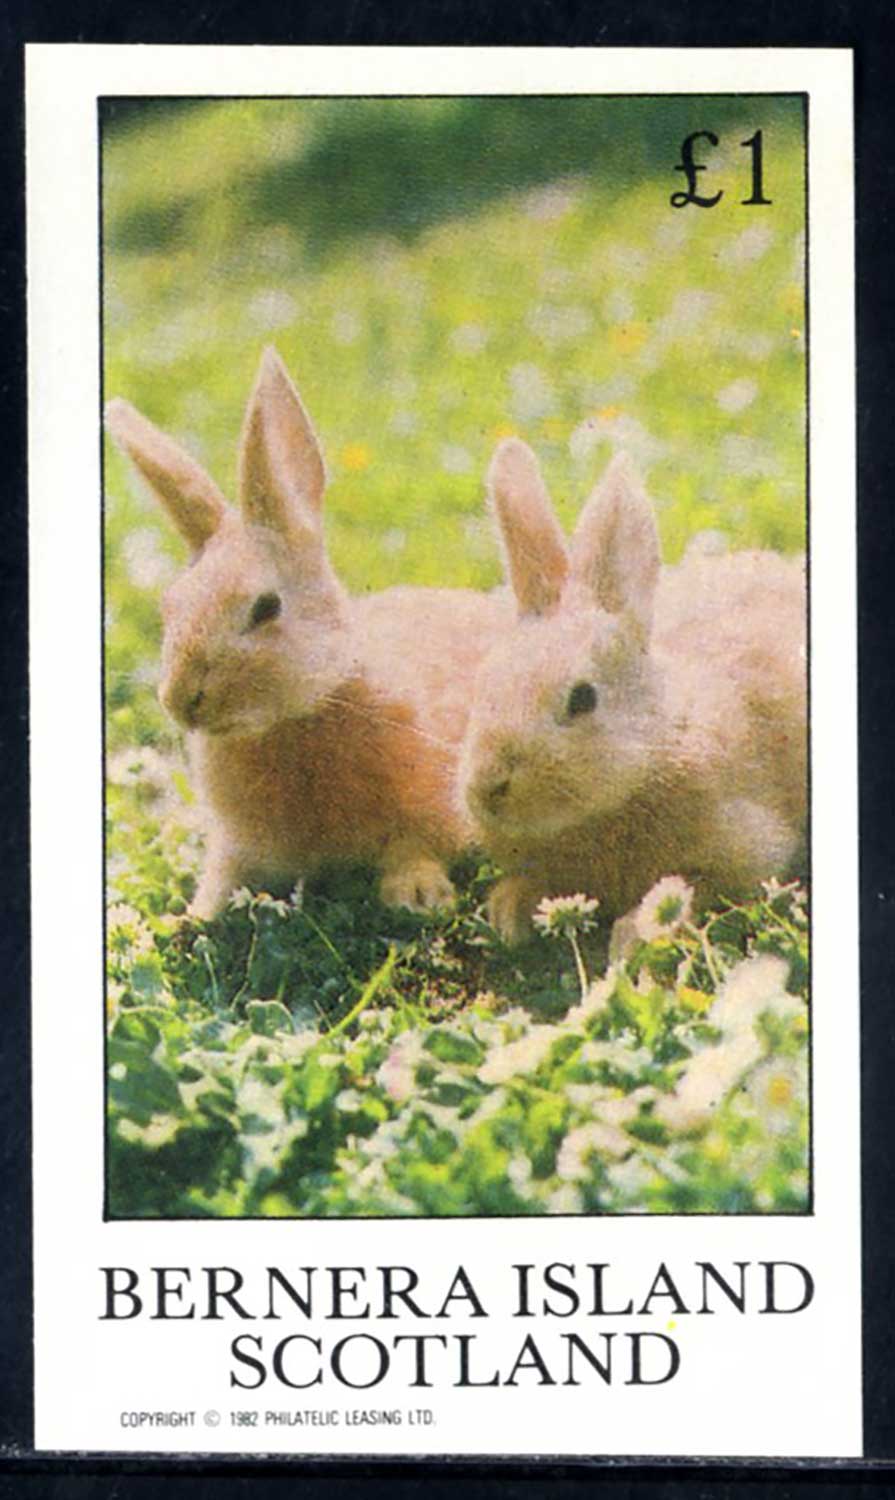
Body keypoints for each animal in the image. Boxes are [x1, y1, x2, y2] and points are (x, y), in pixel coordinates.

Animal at [106, 346, 511, 920]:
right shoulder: (238, 844)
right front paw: (192, 916)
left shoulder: (430, 805)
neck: (298, 716)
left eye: (266, 607)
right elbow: (223, 875)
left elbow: (413, 847)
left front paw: (417, 896)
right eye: (170, 606)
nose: (182, 701)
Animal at [457, 437, 807, 946]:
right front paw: (508, 912)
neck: (656, 745)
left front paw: (628, 938)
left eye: (582, 699)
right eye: (484, 683)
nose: (487, 786)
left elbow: (691, 886)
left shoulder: (746, 848)